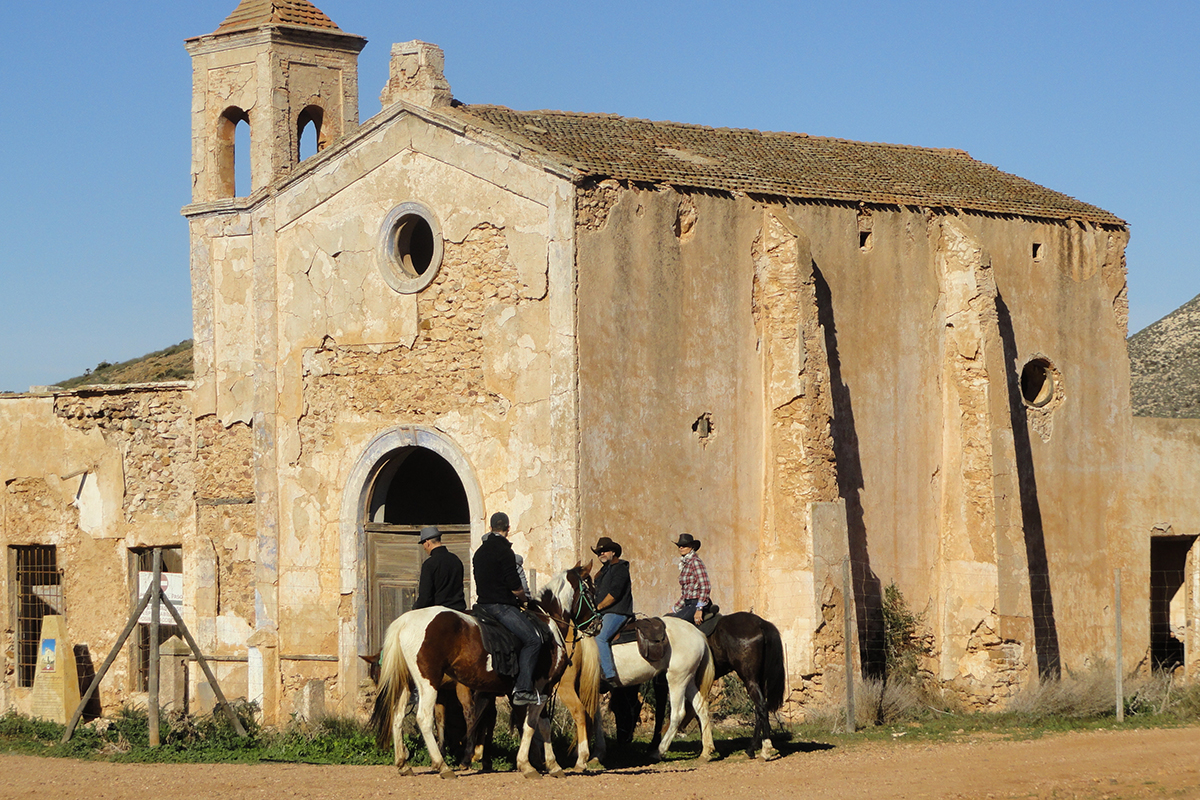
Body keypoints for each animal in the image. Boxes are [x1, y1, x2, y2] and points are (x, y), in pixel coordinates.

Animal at [370, 562, 599, 779]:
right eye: (590, 591)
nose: (597, 624)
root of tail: (404, 621)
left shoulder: (529, 691)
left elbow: (540, 725)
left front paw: (551, 765)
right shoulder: (541, 687)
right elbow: (532, 724)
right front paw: (528, 765)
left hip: (408, 684)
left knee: (397, 716)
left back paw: (403, 763)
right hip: (429, 682)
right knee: (424, 718)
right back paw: (442, 766)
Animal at [563, 616, 716, 766]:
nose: (623, 740)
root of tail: (698, 634)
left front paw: (586, 753)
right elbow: (594, 716)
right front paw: (596, 753)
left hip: (677, 679)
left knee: (678, 714)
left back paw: (658, 751)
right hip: (688, 679)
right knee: (701, 707)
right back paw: (706, 752)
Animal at [652, 611, 786, 760]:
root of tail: (761, 623)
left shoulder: (662, 684)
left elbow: (660, 714)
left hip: (749, 679)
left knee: (761, 707)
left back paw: (764, 749)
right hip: (759, 680)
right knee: (759, 710)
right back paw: (753, 748)